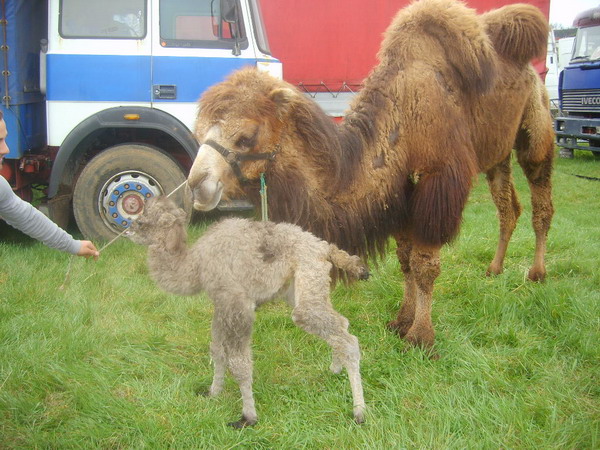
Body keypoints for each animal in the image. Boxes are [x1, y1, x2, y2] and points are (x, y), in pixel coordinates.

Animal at [129, 196, 368, 426]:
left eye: (141, 221)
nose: (129, 230)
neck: (194, 265)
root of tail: (324, 247)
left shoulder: (236, 303)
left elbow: (239, 362)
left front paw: (248, 417)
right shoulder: (220, 304)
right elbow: (217, 351)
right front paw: (213, 392)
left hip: (308, 278)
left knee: (344, 338)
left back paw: (359, 413)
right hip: (301, 287)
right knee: (341, 324)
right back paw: (334, 369)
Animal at [186, 0, 552, 352]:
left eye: (246, 136)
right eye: (199, 131)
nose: (196, 184)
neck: (401, 119)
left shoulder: (436, 184)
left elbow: (425, 265)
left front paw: (421, 337)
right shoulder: (399, 193)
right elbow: (405, 261)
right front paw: (401, 321)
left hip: (536, 130)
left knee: (541, 201)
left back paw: (536, 274)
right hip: (497, 155)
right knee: (507, 207)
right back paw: (495, 269)